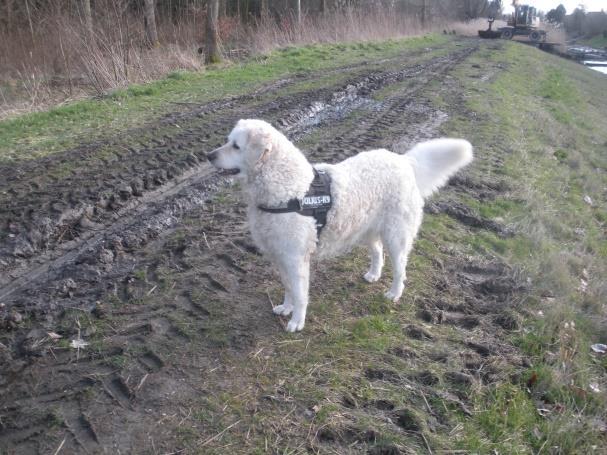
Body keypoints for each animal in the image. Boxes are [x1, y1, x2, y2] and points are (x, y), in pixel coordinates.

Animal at [207, 119, 472, 334]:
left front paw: (297, 321)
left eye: (236, 146)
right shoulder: (280, 256)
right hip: (366, 229)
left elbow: (300, 293)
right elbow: (288, 288)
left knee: (400, 268)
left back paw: (394, 293)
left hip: (396, 235)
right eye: (228, 141)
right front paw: (285, 307)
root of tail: (403, 160)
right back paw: (373, 275)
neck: (287, 189)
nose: (209, 155)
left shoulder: (295, 258)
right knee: (378, 252)